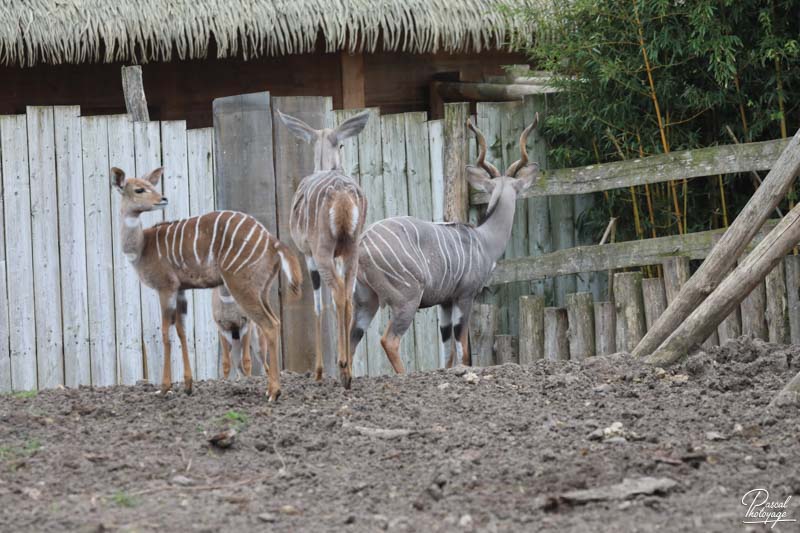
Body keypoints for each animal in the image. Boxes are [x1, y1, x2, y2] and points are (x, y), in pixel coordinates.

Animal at [111, 166, 302, 400]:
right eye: (139, 189)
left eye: (150, 186)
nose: (163, 199)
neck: (142, 247)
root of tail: (272, 241)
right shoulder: (181, 290)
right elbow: (182, 331)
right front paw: (187, 385)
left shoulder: (166, 287)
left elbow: (166, 333)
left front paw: (164, 388)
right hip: (262, 290)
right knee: (275, 321)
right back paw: (270, 389)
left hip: (241, 286)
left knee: (269, 324)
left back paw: (273, 392)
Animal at [276, 110, 370, 388]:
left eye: (341, 144)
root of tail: (342, 194)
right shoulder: (340, 254)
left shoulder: (308, 253)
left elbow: (318, 304)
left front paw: (318, 372)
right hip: (353, 249)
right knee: (347, 295)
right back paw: (347, 369)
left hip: (323, 250)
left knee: (337, 293)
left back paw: (343, 371)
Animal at [348, 113, 540, 370]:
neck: (484, 238)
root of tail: (363, 243)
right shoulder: (465, 296)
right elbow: (463, 347)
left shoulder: (445, 302)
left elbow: (448, 350)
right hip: (406, 299)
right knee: (389, 340)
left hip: (366, 300)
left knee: (350, 341)